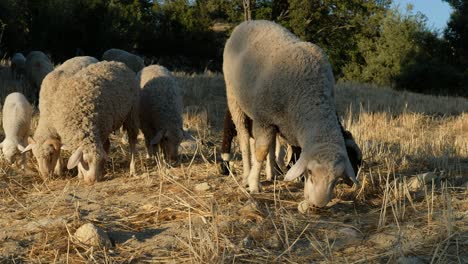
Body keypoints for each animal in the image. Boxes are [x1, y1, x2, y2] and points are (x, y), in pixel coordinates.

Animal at [223, 19, 358, 207]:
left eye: (335, 180)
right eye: (311, 173)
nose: (317, 205)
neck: (311, 96)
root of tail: (249, 22)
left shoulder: (276, 121)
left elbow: (276, 148)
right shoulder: (264, 118)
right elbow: (261, 151)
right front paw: (254, 185)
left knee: (264, 142)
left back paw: (271, 172)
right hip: (234, 98)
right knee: (244, 137)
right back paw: (246, 173)